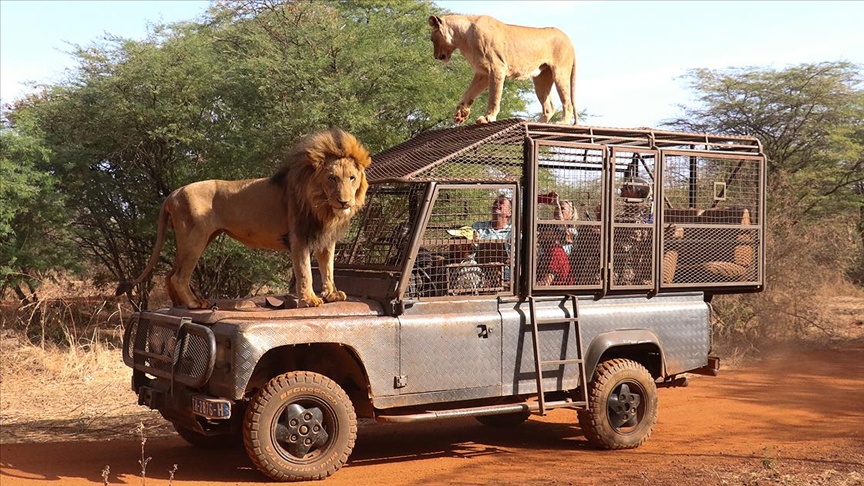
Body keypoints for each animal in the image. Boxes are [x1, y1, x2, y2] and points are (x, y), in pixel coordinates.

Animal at [115, 127, 372, 306]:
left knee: (170, 275)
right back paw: (195, 304)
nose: (344, 201)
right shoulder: (298, 237)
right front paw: (310, 299)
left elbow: (328, 268)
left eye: (351, 178)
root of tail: (174, 192)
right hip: (195, 238)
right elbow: (305, 271)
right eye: (332, 178)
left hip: (195, 239)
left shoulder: (326, 238)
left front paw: (332, 294)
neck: (323, 205)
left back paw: (180, 304)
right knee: (178, 276)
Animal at [428, 14, 576, 125]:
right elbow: (468, 93)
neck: (462, 38)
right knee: (549, 107)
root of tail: (570, 40)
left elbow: (494, 96)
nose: (435, 56)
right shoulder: (482, 73)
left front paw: (487, 118)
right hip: (541, 79)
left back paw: (562, 122)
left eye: (431, 39)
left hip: (560, 73)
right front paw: (460, 114)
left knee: (568, 103)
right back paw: (537, 123)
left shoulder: (497, 68)